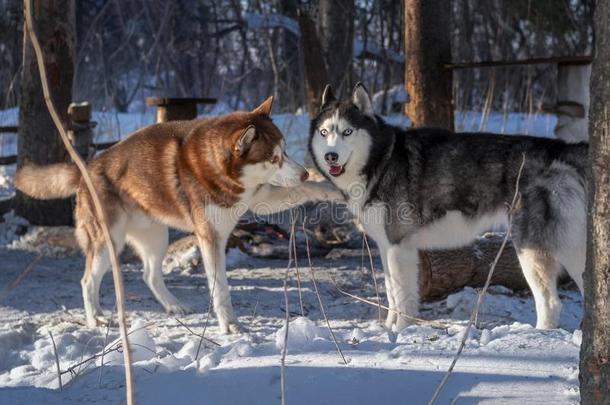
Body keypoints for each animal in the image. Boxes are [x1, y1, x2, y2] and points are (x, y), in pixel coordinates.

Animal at [306, 83, 588, 332]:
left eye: (347, 132)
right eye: (324, 133)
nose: (331, 156)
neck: (380, 160)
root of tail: (560, 148)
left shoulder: (398, 248)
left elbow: (402, 296)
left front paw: (400, 330)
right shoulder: (388, 248)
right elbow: (391, 293)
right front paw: (388, 327)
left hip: (533, 249)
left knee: (551, 302)